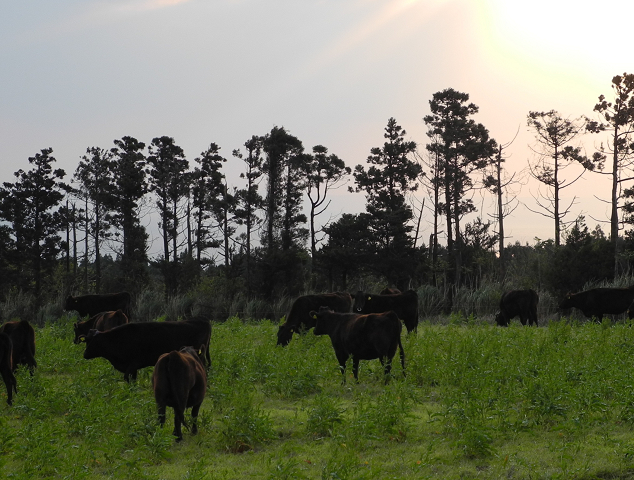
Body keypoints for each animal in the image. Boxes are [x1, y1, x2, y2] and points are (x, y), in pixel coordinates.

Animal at [82, 318, 211, 382]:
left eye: (94, 341)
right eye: (86, 340)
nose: (85, 354)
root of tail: (204, 322)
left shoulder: (133, 364)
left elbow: (127, 378)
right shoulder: (132, 368)